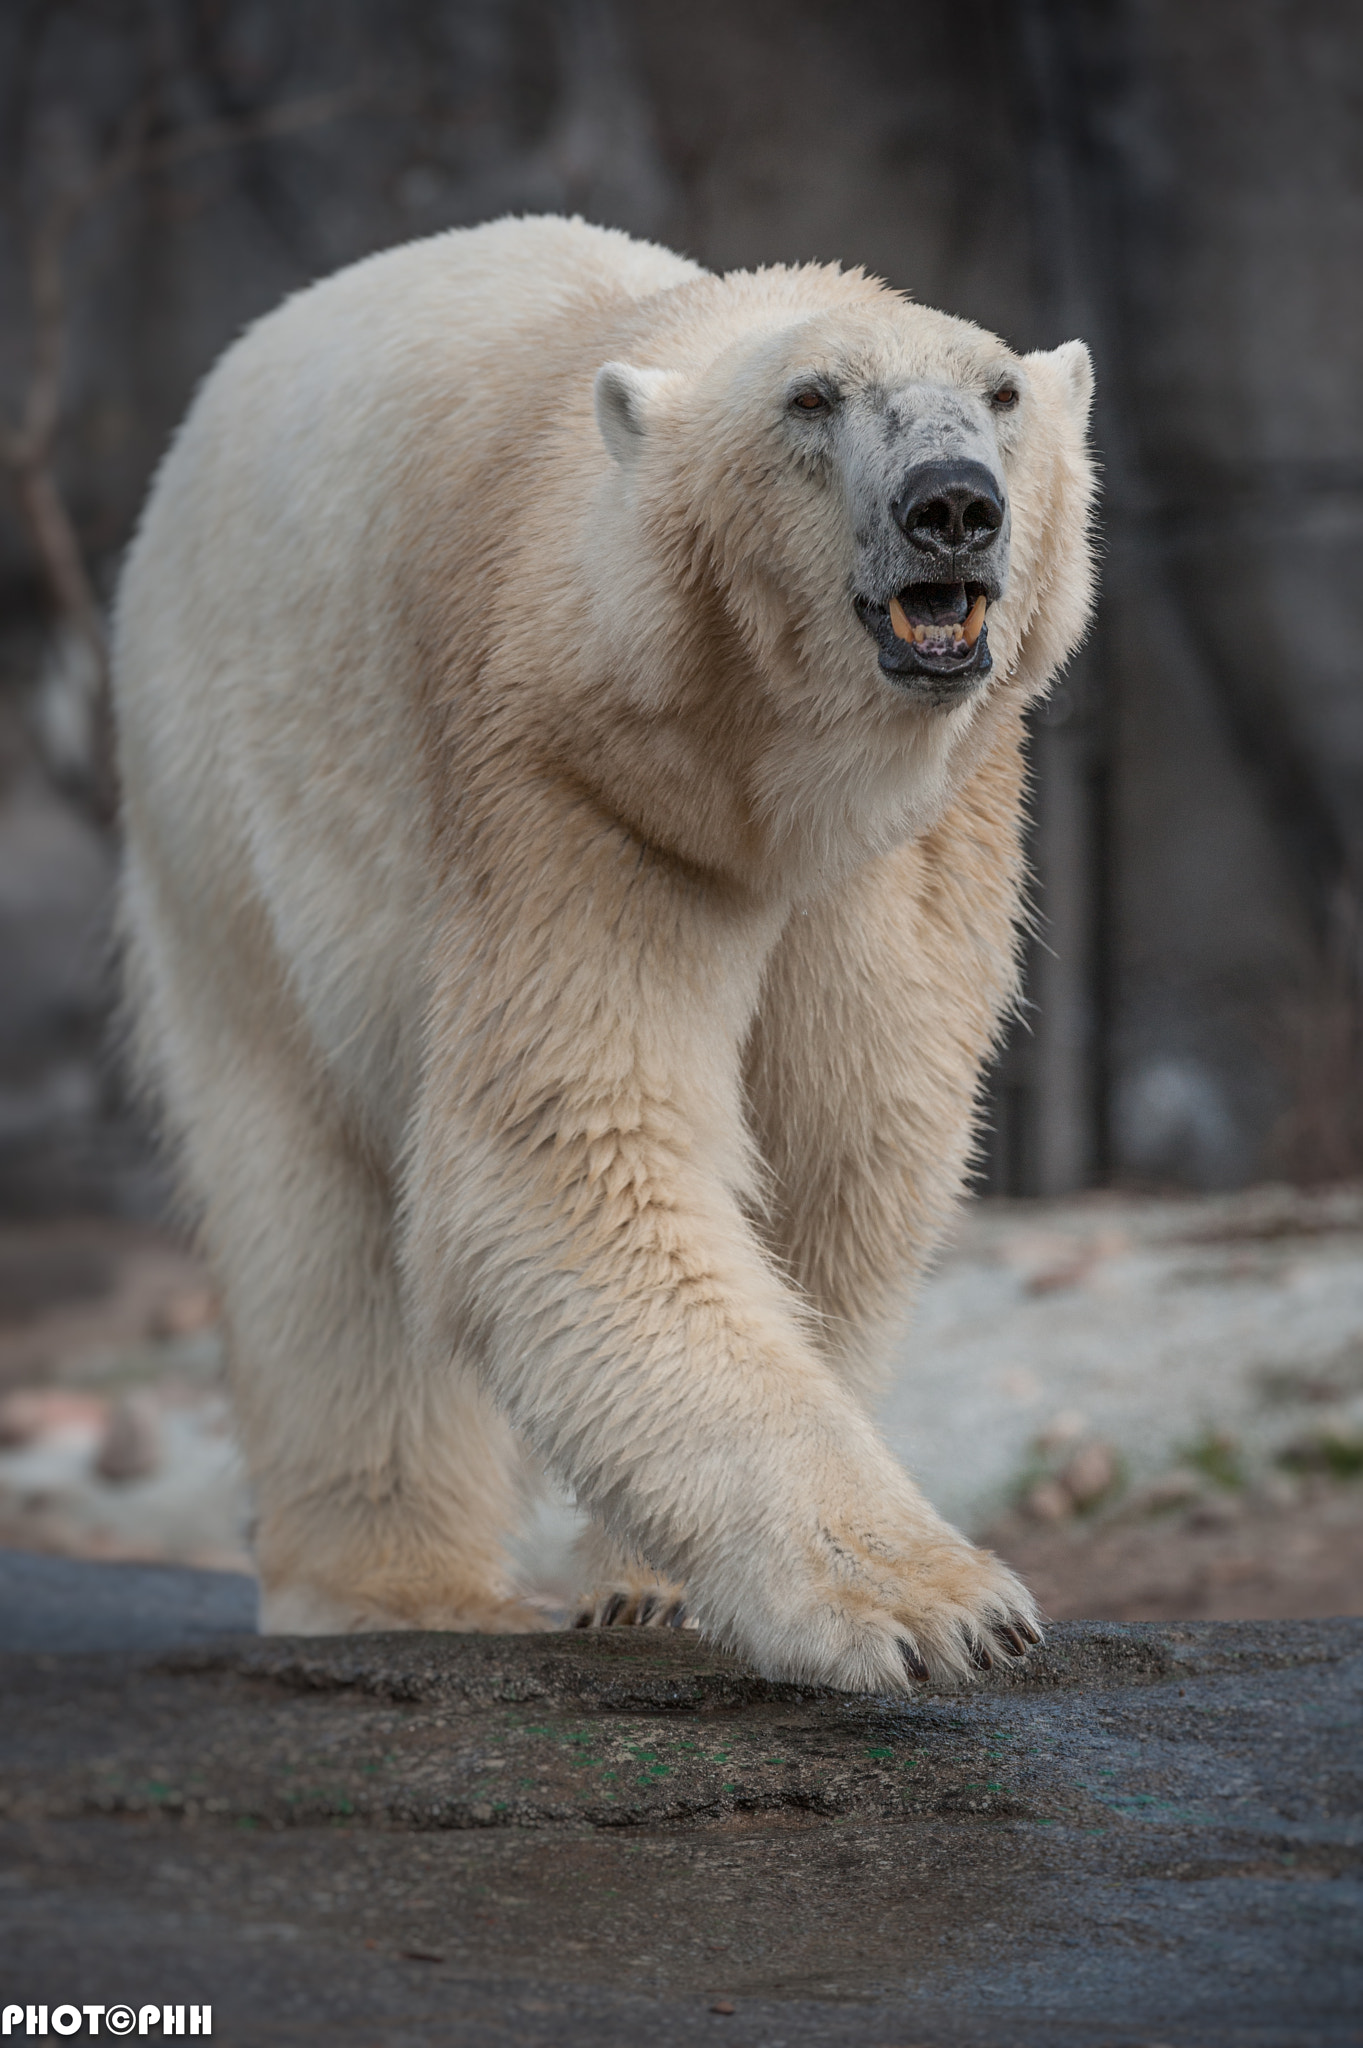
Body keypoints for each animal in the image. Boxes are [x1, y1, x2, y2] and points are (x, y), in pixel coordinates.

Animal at [114, 216, 1096, 1687]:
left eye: (1000, 393)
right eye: (811, 399)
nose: (952, 504)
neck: (764, 774)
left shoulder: (915, 842)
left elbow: (842, 1150)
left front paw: (651, 1589)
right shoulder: (572, 783)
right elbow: (579, 1148)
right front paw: (929, 1607)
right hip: (222, 815)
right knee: (309, 1197)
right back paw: (398, 1585)